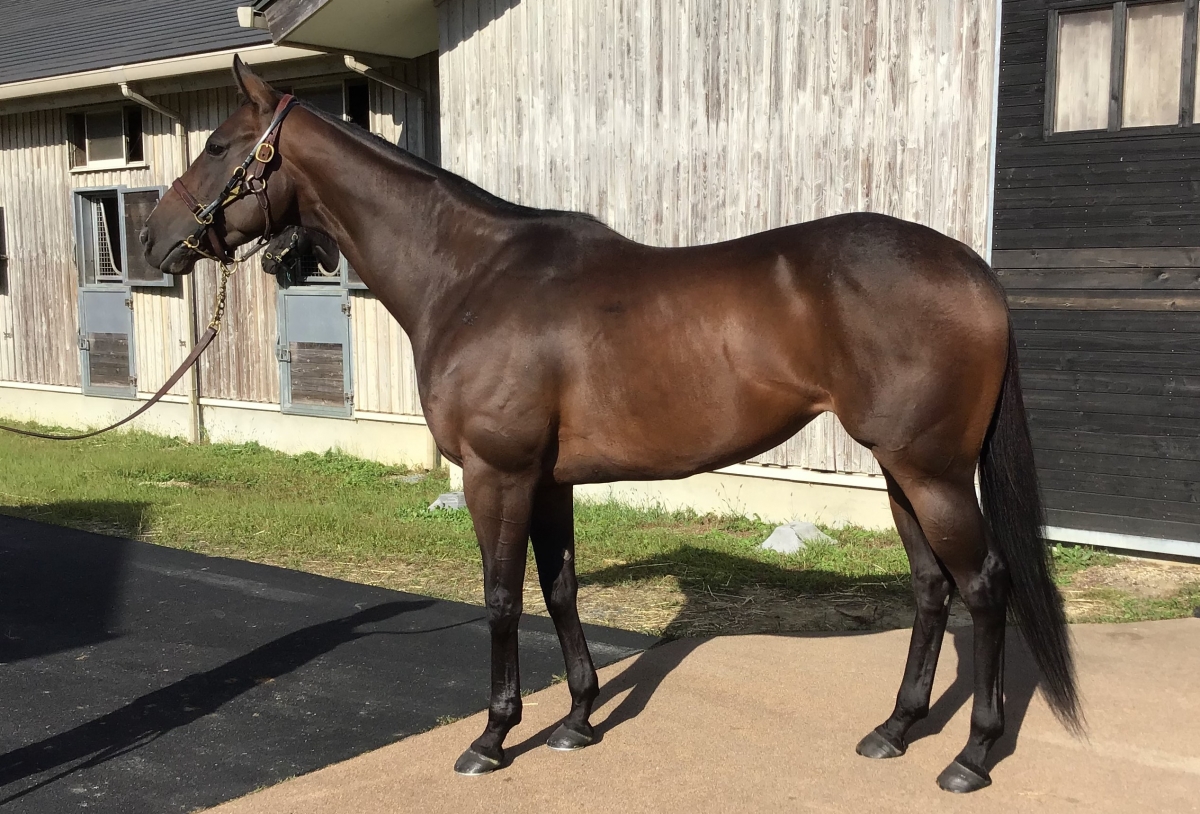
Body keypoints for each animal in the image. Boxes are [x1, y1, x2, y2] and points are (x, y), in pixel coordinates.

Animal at [142, 57, 1081, 794]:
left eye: (219, 147)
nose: (155, 240)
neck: (471, 275)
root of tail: (971, 271)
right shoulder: (547, 479)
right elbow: (559, 588)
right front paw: (578, 719)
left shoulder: (497, 474)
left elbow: (501, 596)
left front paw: (493, 736)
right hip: (898, 471)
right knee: (932, 587)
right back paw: (894, 729)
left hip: (931, 472)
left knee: (983, 586)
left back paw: (971, 756)